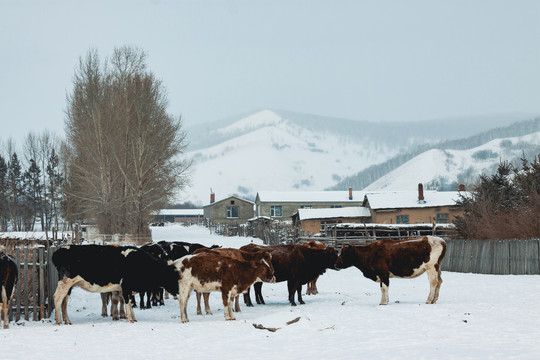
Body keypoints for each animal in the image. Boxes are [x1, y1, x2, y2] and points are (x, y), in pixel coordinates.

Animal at [50, 245, 178, 324]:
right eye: (172, 277)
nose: (178, 291)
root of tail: (59, 251)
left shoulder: (127, 290)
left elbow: (129, 304)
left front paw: (134, 318)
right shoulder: (126, 287)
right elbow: (128, 303)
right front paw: (130, 319)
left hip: (69, 286)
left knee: (64, 301)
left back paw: (67, 320)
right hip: (65, 282)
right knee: (57, 297)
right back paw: (59, 321)